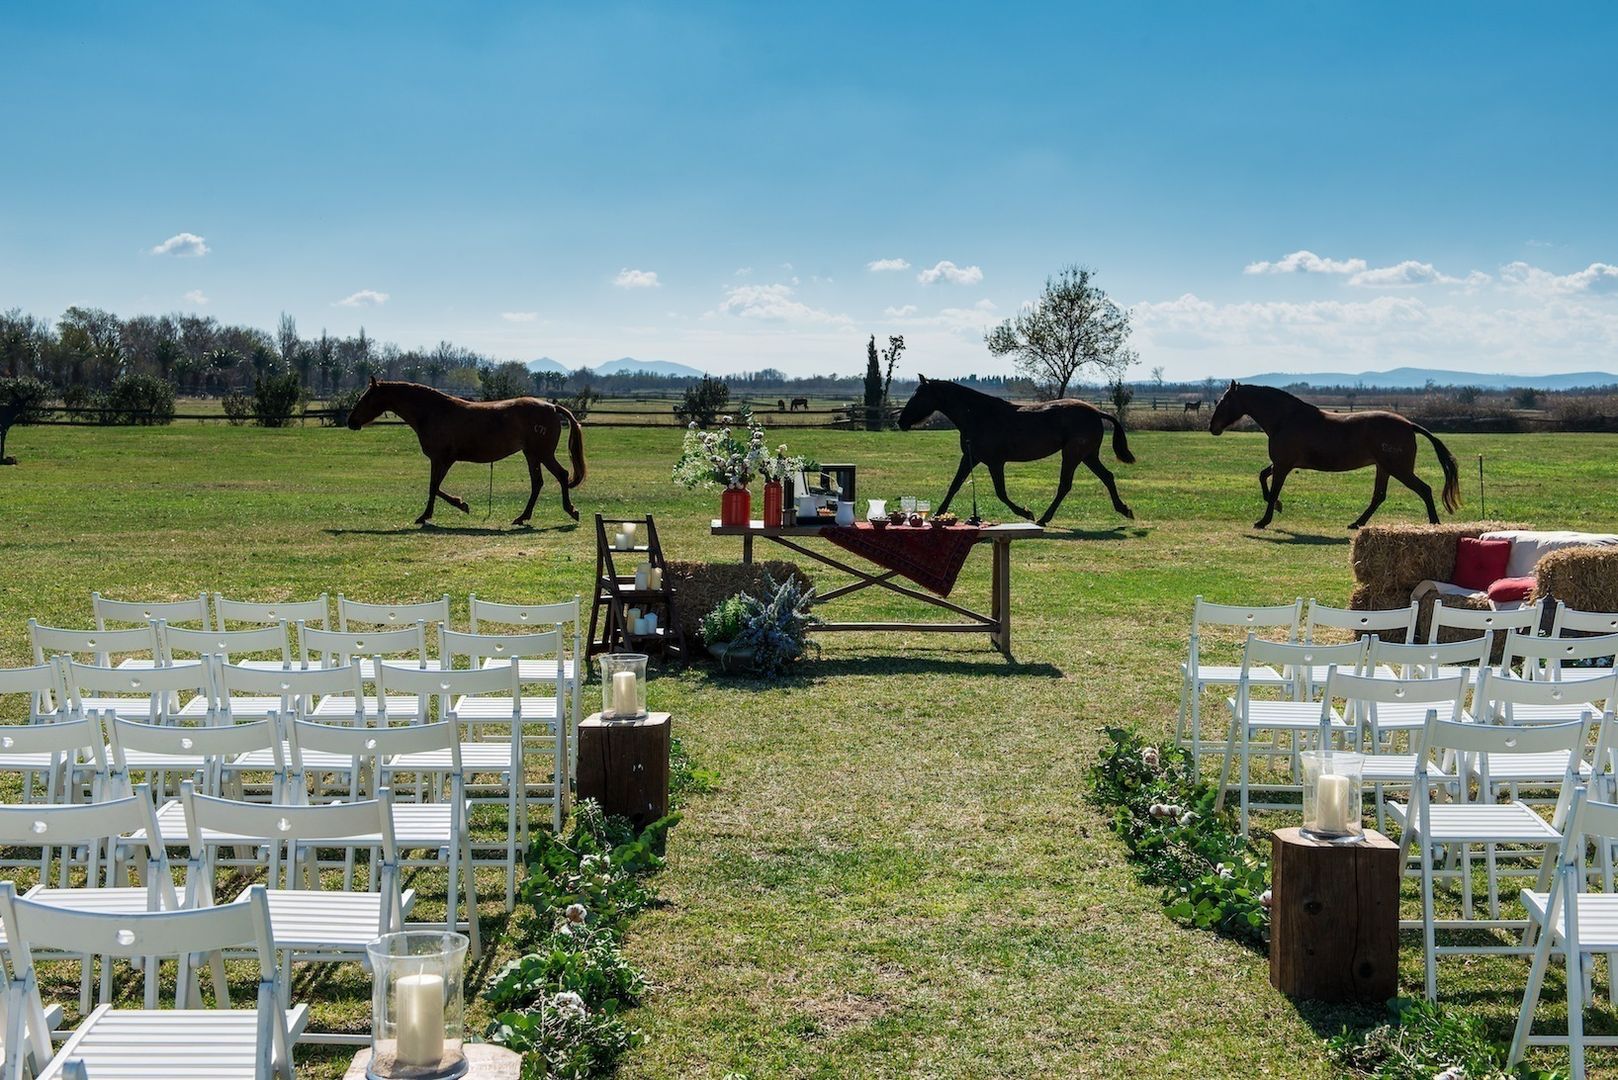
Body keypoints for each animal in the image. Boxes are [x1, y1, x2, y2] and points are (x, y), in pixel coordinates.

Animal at [347, 380, 588, 527]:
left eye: (366, 398)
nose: (351, 422)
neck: (434, 411)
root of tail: (551, 406)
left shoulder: (442, 459)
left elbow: (434, 487)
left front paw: (438, 511)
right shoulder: (441, 460)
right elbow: (435, 487)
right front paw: (456, 506)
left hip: (541, 454)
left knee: (560, 475)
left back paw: (568, 511)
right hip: (533, 455)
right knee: (539, 482)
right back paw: (524, 517)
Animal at [893, 375, 1132, 527]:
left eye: (918, 396)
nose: (900, 421)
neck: (978, 415)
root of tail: (1096, 412)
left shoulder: (995, 462)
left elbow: (1001, 493)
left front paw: (1026, 513)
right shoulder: (971, 457)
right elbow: (954, 486)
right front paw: (938, 515)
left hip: (1073, 455)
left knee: (1065, 485)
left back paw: (1043, 518)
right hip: (1087, 456)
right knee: (1107, 476)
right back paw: (1124, 509)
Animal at [1210, 380, 1462, 531]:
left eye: (1224, 401)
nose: (1213, 428)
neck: (1285, 419)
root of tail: (1409, 424)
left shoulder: (1283, 465)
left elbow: (1272, 492)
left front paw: (1264, 520)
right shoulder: (1282, 463)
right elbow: (1263, 477)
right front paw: (1278, 508)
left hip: (1398, 469)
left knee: (1424, 489)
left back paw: (1434, 523)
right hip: (1384, 468)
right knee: (1379, 497)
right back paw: (1356, 523)